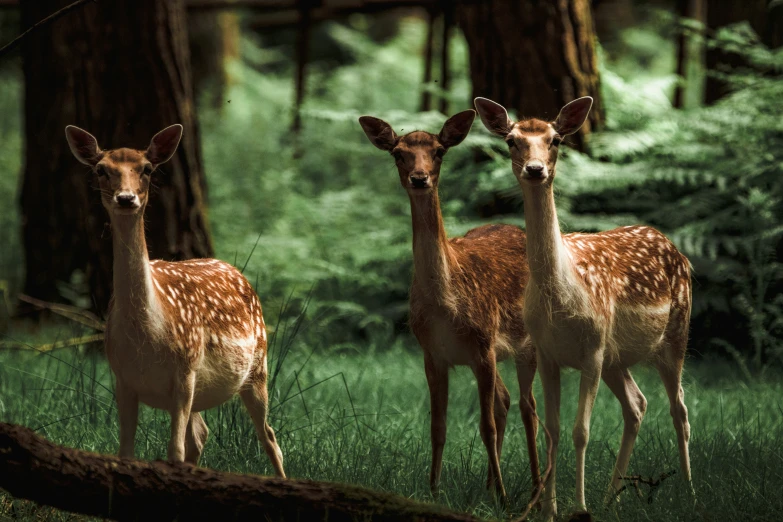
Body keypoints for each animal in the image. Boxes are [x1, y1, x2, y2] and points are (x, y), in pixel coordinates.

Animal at [63, 124, 284, 474]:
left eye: (147, 169)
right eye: (101, 169)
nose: (126, 198)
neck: (147, 334)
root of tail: (236, 271)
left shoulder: (185, 370)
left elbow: (174, 451)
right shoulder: (122, 378)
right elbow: (126, 451)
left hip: (258, 365)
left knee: (269, 436)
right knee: (202, 435)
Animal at [360, 110, 540, 504]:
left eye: (439, 151)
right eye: (398, 153)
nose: (419, 177)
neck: (446, 305)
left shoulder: (483, 345)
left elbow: (486, 426)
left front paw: (504, 496)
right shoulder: (433, 353)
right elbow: (437, 425)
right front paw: (433, 489)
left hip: (526, 343)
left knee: (528, 407)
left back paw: (533, 487)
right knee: (505, 401)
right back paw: (490, 486)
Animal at [474, 95, 696, 516]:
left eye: (556, 139)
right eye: (512, 140)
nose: (535, 169)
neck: (561, 295)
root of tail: (676, 249)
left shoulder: (591, 348)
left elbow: (581, 431)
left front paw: (578, 508)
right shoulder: (547, 352)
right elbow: (553, 430)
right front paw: (549, 510)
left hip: (676, 333)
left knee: (679, 409)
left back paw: (690, 489)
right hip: (616, 357)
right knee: (637, 404)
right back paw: (611, 497)